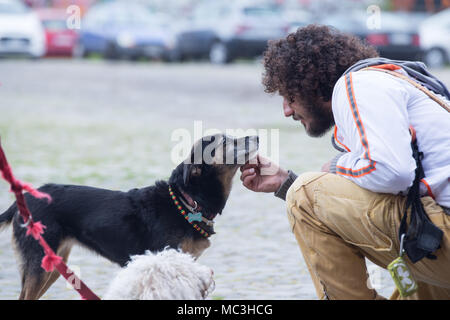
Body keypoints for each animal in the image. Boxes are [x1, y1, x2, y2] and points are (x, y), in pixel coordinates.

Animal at [0, 134, 256, 298]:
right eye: (226, 142)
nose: (257, 137)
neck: (188, 201)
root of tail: (21, 201)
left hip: (53, 265)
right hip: (38, 266)